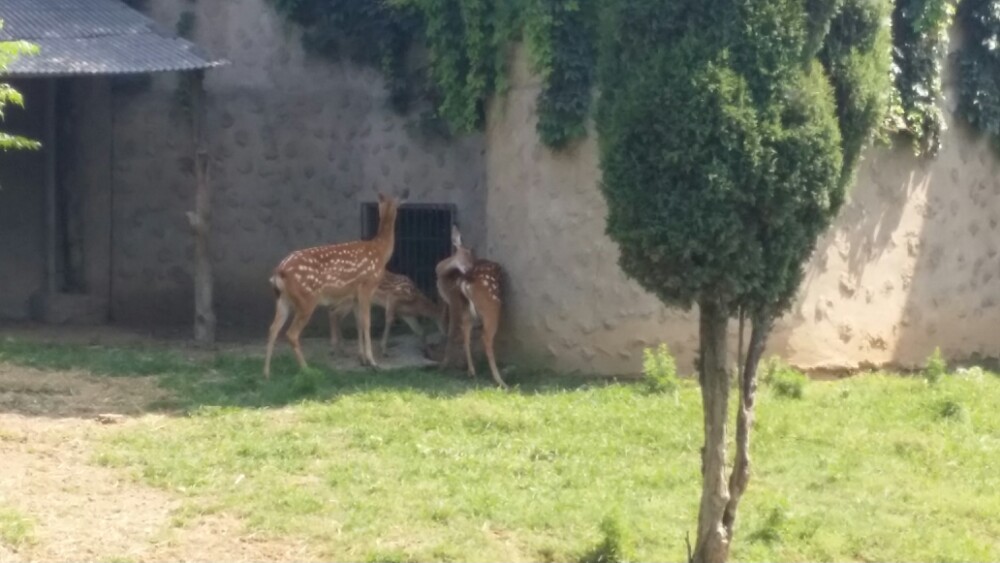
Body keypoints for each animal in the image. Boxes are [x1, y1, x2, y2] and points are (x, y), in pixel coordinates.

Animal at [266, 189, 410, 378]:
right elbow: (366, 323)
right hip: (306, 299)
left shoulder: (355, 295)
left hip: (283, 299)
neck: (380, 251)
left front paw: (362, 359)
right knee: (291, 333)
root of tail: (279, 272)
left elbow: (358, 323)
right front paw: (372, 362)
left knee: (273, 329)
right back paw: (307, 370)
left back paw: (266, 373)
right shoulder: (366, 287)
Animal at [436, 225, 508, 388]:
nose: (469, 268)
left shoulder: (453, 301)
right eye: (466, 253)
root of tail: (467, 280)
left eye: (472, 256)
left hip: (472, 309)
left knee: (469, 334)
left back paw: (475, 372)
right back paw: (499, 380)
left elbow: (451, 331)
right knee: (484, 336)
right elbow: (453, 332)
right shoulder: (454, 302)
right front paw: (444, 365)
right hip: (491, 306)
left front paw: (444, 364)